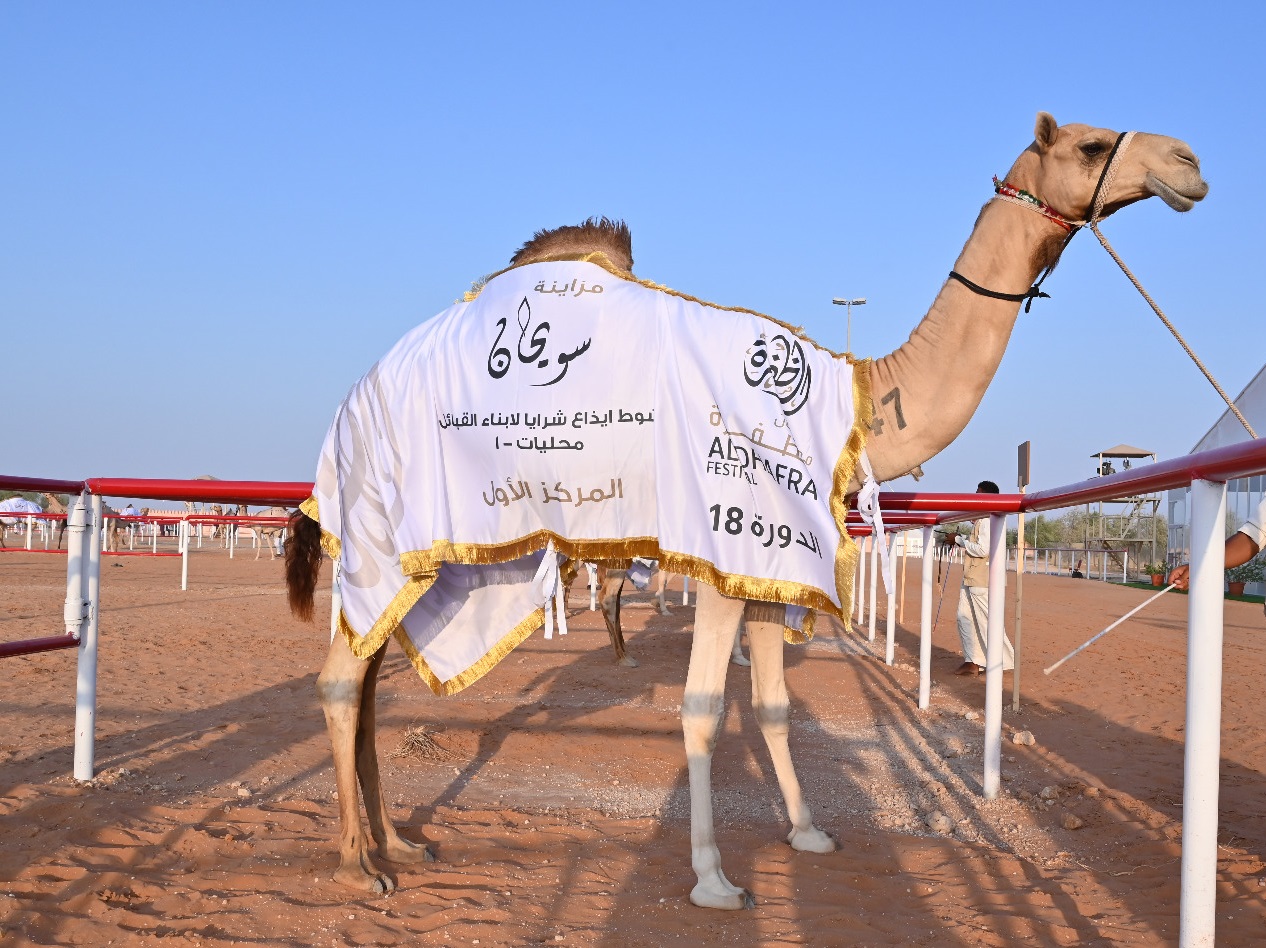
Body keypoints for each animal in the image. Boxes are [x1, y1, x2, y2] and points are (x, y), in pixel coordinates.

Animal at [287, 114, 1205, 906]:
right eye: (1090, 145)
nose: (1188, 161)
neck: (854, 397)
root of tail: (347, 406)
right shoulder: (721, 558)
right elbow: (702, 708)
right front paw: (713, 879)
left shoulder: (773, 562)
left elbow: (771, 705)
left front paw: (807, 833)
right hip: (387, 529)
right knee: (339, 679)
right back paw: (357, 865)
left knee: (365, 677)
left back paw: (399, 844)